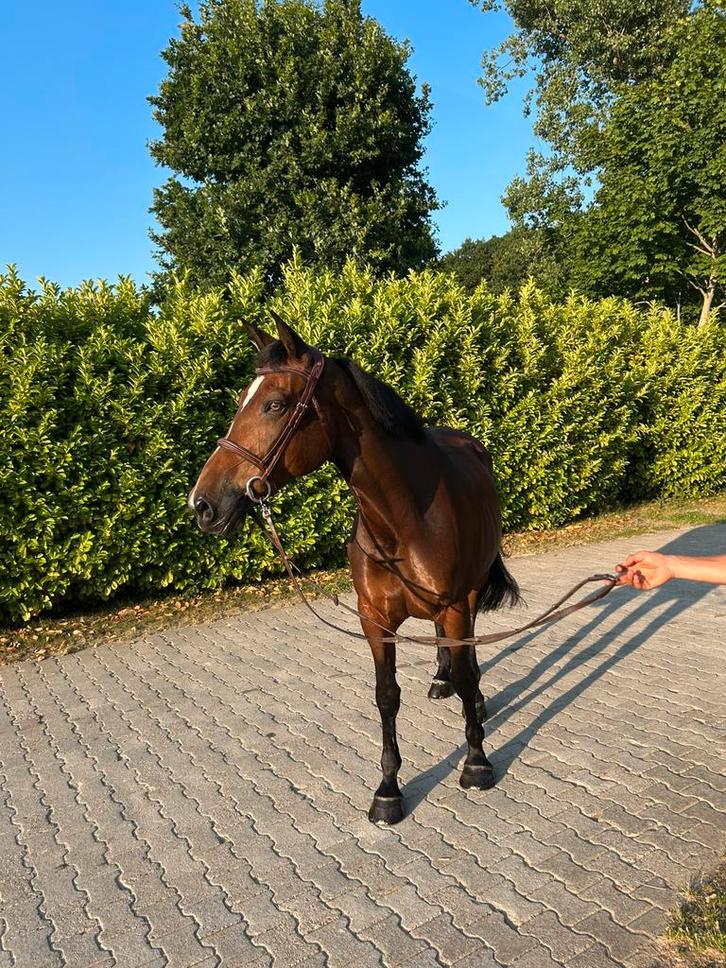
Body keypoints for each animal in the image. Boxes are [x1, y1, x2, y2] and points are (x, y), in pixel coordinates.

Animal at [190, 312, 520, 824]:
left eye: (275, 404)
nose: (203, 504)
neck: (405, 520)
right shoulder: (374, 620)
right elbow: (387, 696)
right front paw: (387, 790)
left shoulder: (451, 604)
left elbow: (466, 676)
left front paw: (477, 762)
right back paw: (442, 681)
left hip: (468, 593)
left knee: (468, 652)